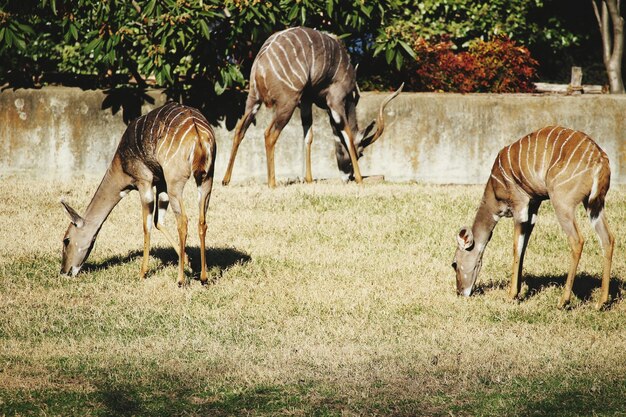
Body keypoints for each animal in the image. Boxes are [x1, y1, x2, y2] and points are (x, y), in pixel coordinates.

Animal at [60, 102, 217, 284]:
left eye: (66, 240)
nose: (64, 271)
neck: (121, 164)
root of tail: (198, 133)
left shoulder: (144, 182)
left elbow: (146, 225)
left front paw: (142, 273)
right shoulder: (161, 183)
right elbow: (158, 221)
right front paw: (189, 262)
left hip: (175, 182)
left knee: (183, 221)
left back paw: (180, 280)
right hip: (206, 178)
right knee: (202, 221)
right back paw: (204, 277)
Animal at [222, 26, 402, 187]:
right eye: (361, 153)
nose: (347, 177)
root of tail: (261, 60)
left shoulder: (306, 101)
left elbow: (308, 135)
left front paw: (309, 179)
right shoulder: (335, 100)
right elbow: (348, 135)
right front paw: (359, 179)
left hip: (253, 100)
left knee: (239, 130)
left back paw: (226, 180)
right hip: (287, 103)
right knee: (269, 134)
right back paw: (272, 183)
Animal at [450, 127, 612, 308]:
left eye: (454, 264)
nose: (460, 292)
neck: (494, 191)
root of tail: (600, 159)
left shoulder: (519, 204)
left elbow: (516, 246)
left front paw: (511, 295)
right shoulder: (534, 205)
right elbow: (524, 246)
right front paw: (518, 291)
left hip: (562, 202)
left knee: (577, 240)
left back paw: (563, 301)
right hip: (594, 205)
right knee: (608, 239)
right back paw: (601, 303)